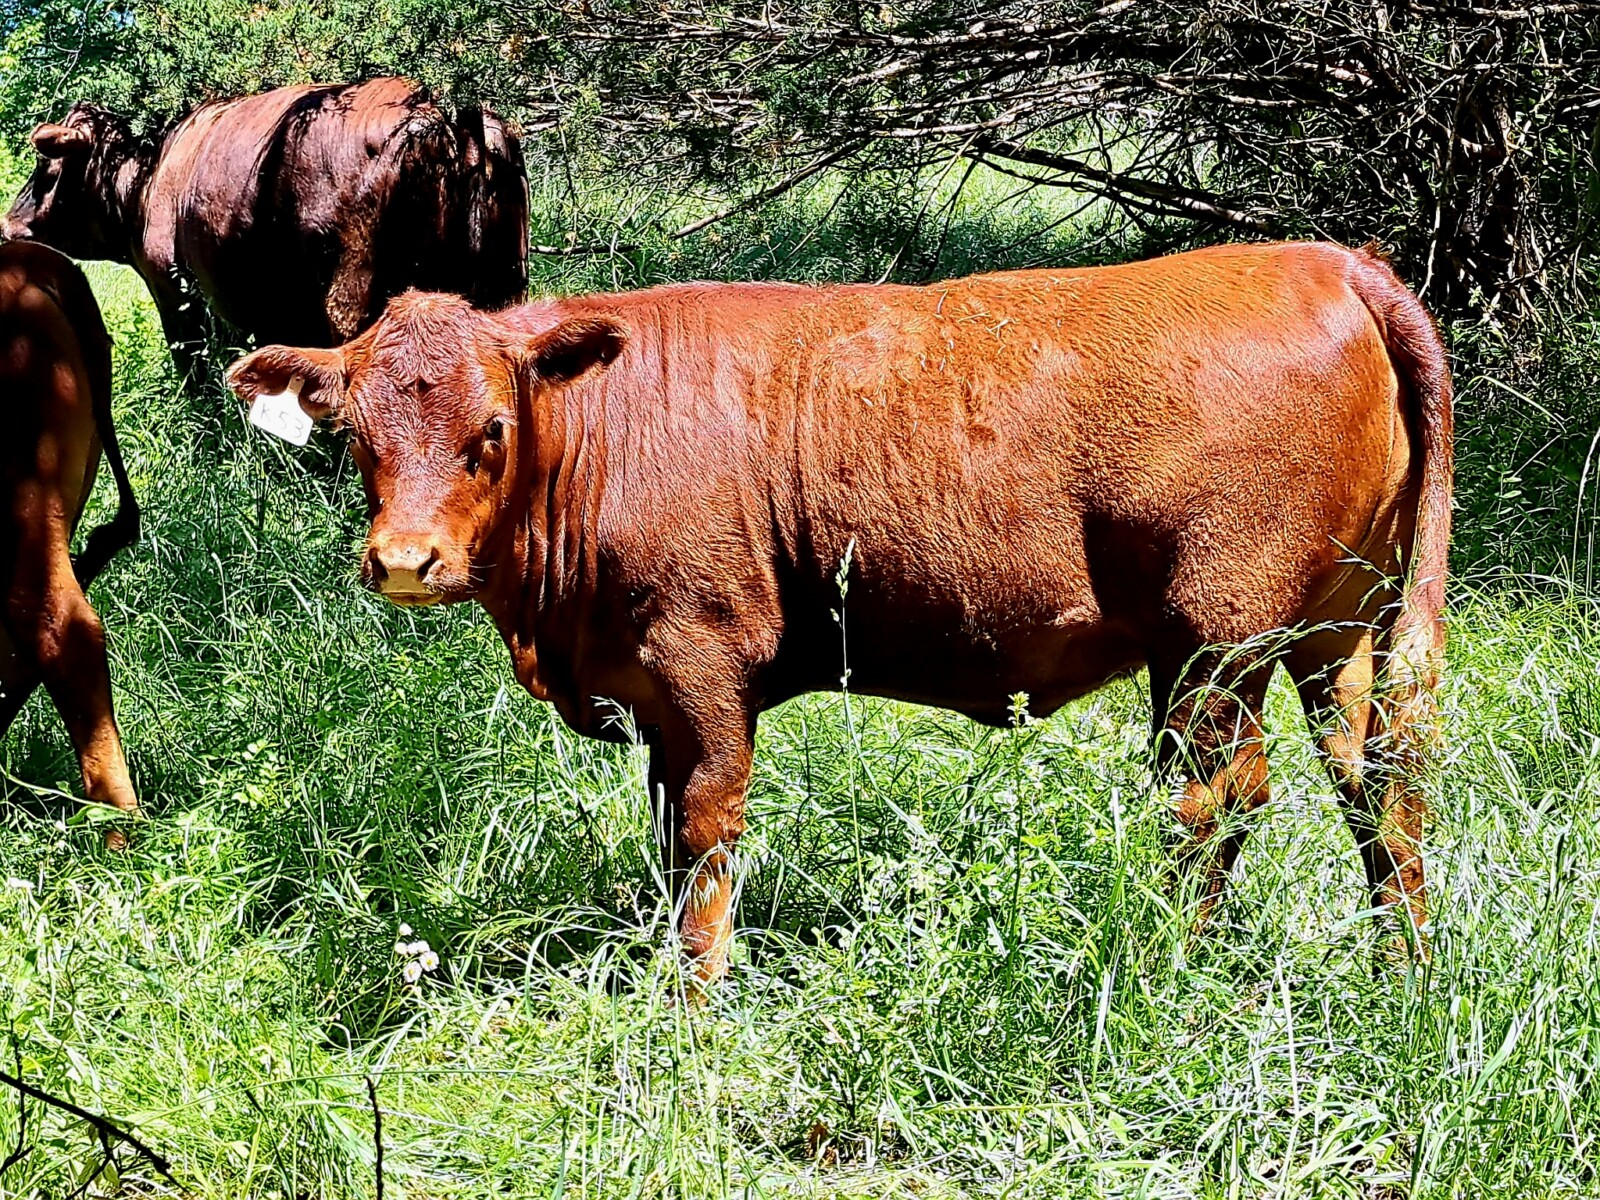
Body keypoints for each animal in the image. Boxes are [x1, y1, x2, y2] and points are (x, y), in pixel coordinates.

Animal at [3, 77, 528, 379]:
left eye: (46, 167)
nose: (8, 222)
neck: (146, 184)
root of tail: (438, 119)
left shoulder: (174, 293)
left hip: (352, 305)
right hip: (505, 287)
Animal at [226, 241, 1453, 985]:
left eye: (491, 429)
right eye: (355, 435)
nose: (404, 561)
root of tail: (1325, 261)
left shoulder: (702, 663)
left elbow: (707, 837)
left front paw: (696, 1001)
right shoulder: (651, 700)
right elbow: (666, 839)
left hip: (1215, 640)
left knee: (1215, 800)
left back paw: (1166, 963)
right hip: (1336, 632)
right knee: (1378, 784)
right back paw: (1399, 970)